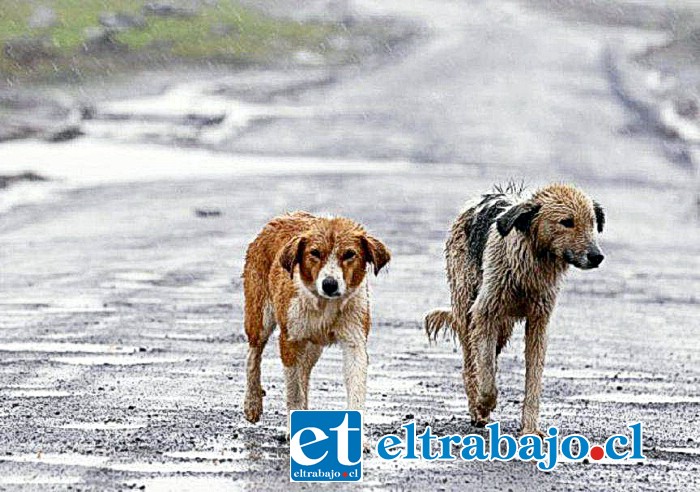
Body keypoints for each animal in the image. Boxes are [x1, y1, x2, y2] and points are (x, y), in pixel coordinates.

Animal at [243, 213, 392, 428]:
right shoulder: (290, 340)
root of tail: (281, 217)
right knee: (253, 356)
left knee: (304, 371)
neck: (324, 305)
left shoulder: (354, 340)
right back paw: (252, 403)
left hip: (313, 346)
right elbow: (294, 391)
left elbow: (356, 388)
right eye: (315, 253)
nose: (329, 284)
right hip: (260, 317)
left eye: (349, 254)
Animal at [424, 184, 604, 434]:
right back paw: (476, 410)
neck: (532, 264)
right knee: (470, 364)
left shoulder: (538, 322)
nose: (597, 256)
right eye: (567, 222)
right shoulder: (484, 312)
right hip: (467, 308)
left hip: (504, 327)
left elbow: (533, 379)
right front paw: (484, 404)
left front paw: (530, 429)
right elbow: (486, 376)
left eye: (592, 223)